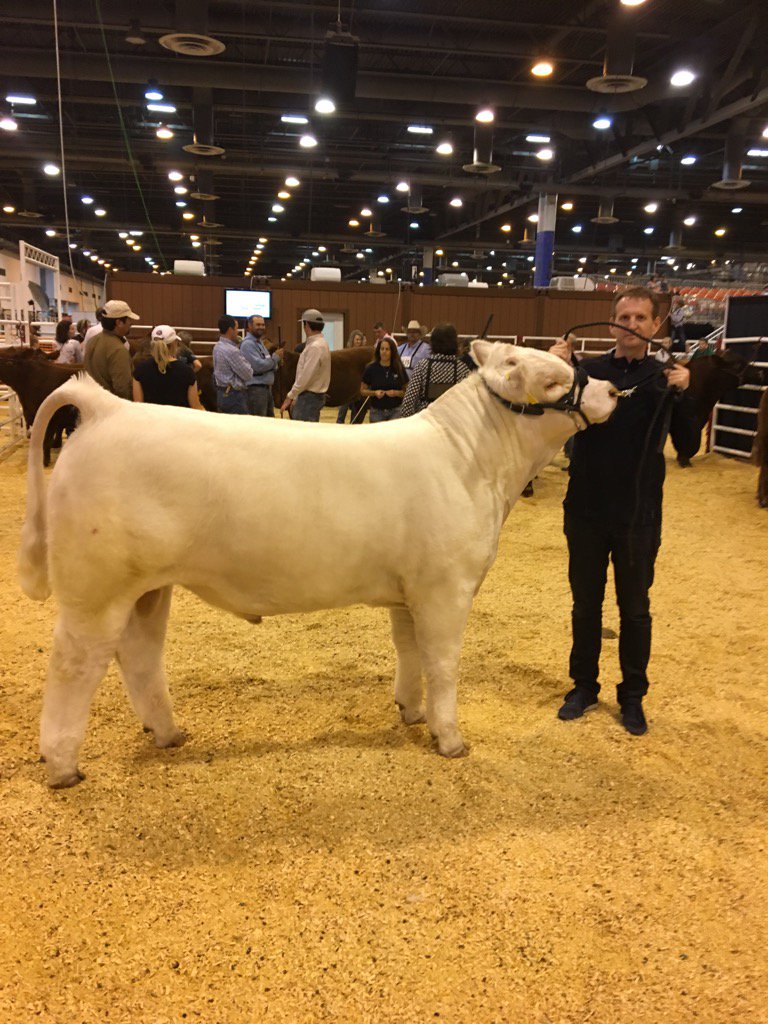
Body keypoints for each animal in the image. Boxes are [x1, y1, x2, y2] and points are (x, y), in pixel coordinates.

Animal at [18, 343, 617, 788]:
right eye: (556, 379)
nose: (613, 390)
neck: (469, 461)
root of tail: (110, 407)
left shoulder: (410, 589)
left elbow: (410, 652)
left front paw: (410, 711)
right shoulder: (447, 587)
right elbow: (443, 664)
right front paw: (450, 739)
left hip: (147, 588)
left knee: (140, 656)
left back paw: (168, 734)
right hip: (96, 590)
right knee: (74, 667)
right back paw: (64, 767)